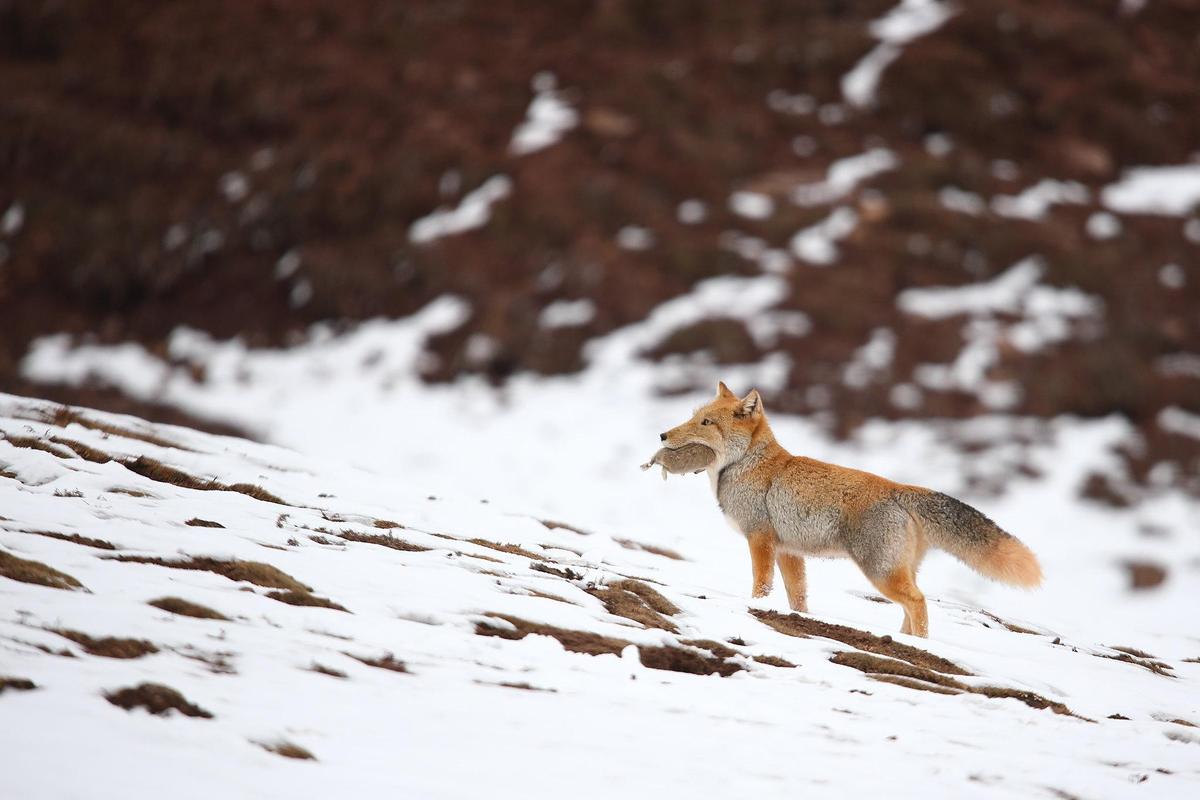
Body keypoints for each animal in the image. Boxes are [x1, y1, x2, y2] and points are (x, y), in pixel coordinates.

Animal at [657, 381, 1041, 638]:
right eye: (693, 417)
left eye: (706, 423)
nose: (662, 435)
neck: (748, 465)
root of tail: (900, 488)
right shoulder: (788, 551)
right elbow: (798, 597)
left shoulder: (761, 539)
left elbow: (761, 585)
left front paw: (758, 607)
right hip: (896, 571)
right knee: (911, 606)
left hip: (880, 573)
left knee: (918, 602)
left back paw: (921, 645)